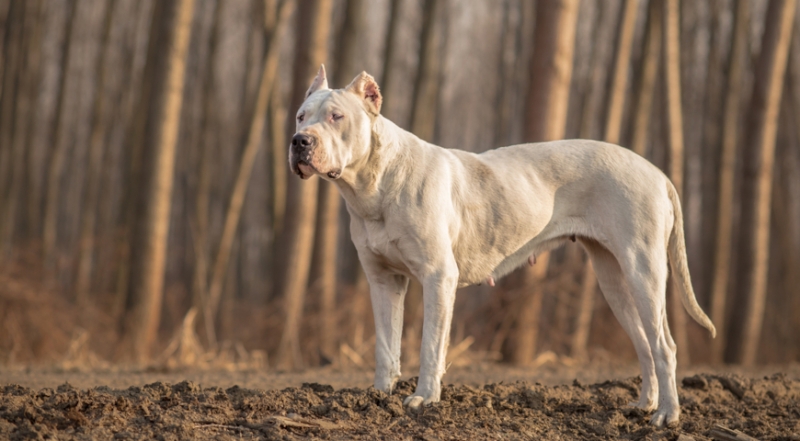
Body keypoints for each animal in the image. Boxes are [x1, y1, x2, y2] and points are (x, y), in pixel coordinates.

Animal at [290, 66, 716, 426]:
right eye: (300, 116)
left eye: (336, 117)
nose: (299, 141)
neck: (374, 185)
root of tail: (657, 173)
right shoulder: (383, 281)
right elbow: (385, 345)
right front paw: (378, 397)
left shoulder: (438, 278)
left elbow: (430, 345)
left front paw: (424, 399)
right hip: (614, 279)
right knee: (644, 344)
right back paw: (644, 405)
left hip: (643, 270)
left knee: (664, 346)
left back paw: (667, 416)